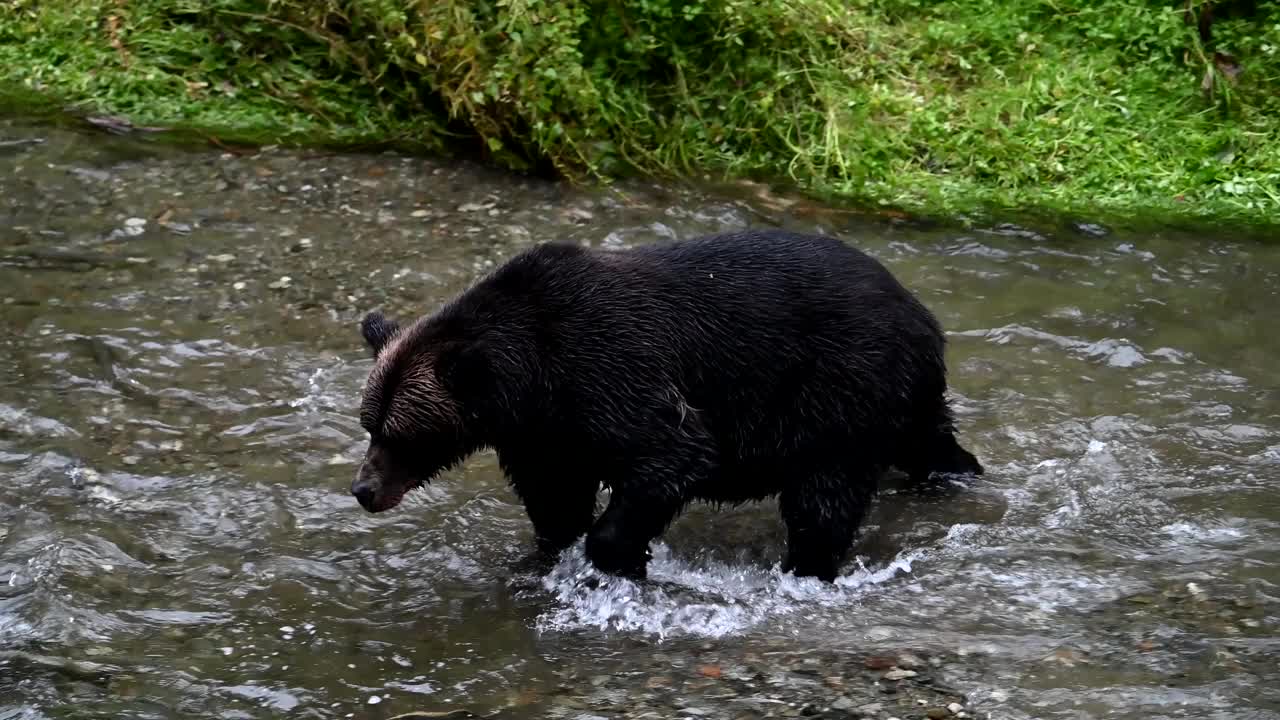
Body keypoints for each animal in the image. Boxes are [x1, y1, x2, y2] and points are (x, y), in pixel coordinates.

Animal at [350, 226, 977, 579]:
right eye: (369, 424)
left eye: (400, 432)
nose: (363, 489)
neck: (532, 378)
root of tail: (920, 312)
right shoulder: (542, 433)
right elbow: (555, 498)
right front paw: (547, 555)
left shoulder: (609, 369)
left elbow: (671, 454)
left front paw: (616, 556)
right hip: (894, 399)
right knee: (930, 441)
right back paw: (956, 474)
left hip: (840, 388)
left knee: (823, 498)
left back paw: (805, 568)